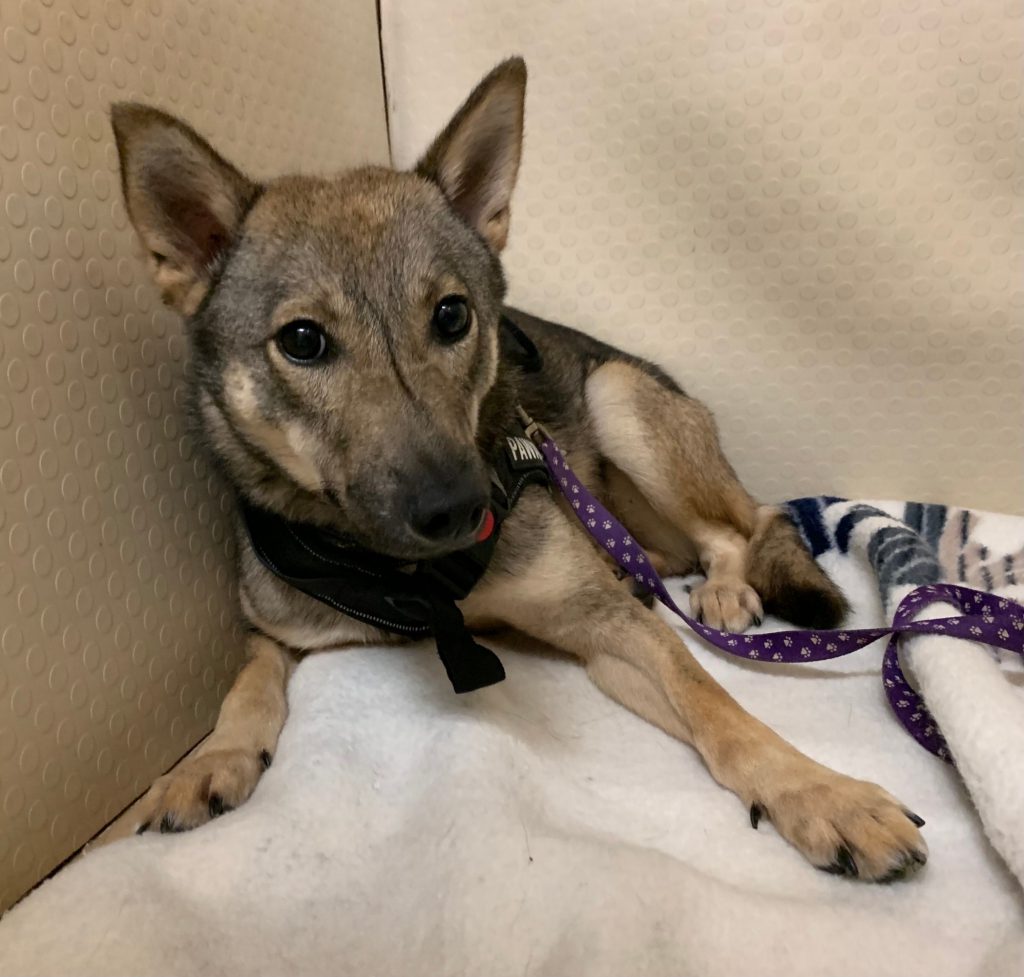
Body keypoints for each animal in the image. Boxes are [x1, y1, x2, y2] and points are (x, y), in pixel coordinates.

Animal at [111, 58, 926, 881]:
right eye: (302, 340)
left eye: (452, 316)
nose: (460, 507)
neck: (412, 576)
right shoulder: (275, 620)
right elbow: (247, 679)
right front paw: (208, 759)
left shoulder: (608, 628)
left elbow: (717, 707)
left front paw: (821, 794)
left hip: (618, 393)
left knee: (748, 522)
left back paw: (725, 589)